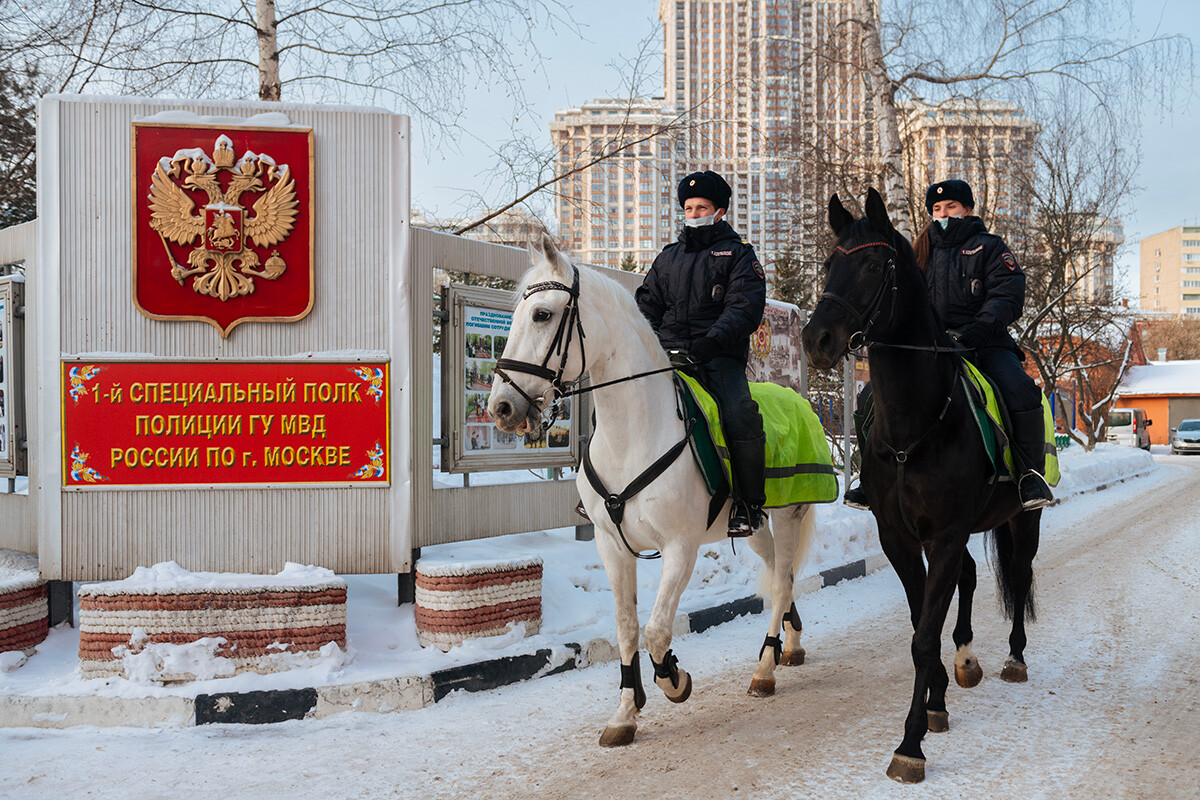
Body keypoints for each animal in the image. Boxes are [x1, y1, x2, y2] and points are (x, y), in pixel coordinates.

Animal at [484, 235, 816, 748]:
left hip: (789, 513)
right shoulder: (611, 546)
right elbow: (626, 627)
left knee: (781, 581)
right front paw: (625, 714)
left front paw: (674, 680)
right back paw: (791, 644)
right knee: (781, 576)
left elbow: (657, 631)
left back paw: (766, 667)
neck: (633, 434)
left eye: (541, 314)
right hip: (757, 524)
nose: (500, 407)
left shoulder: (680, 547)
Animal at [796, 190, 1041, 786]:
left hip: (1022, 519)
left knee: (1020, 575)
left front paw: (910, 744)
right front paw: (936, 701)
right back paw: (967, 660)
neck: (917, 423)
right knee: (973, 578)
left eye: (871, 265)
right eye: (828, 263)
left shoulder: (945, 536)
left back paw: (1014, 658)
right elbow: (918, 625)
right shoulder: (903, 539)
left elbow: (924, 634)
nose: (816, 341)